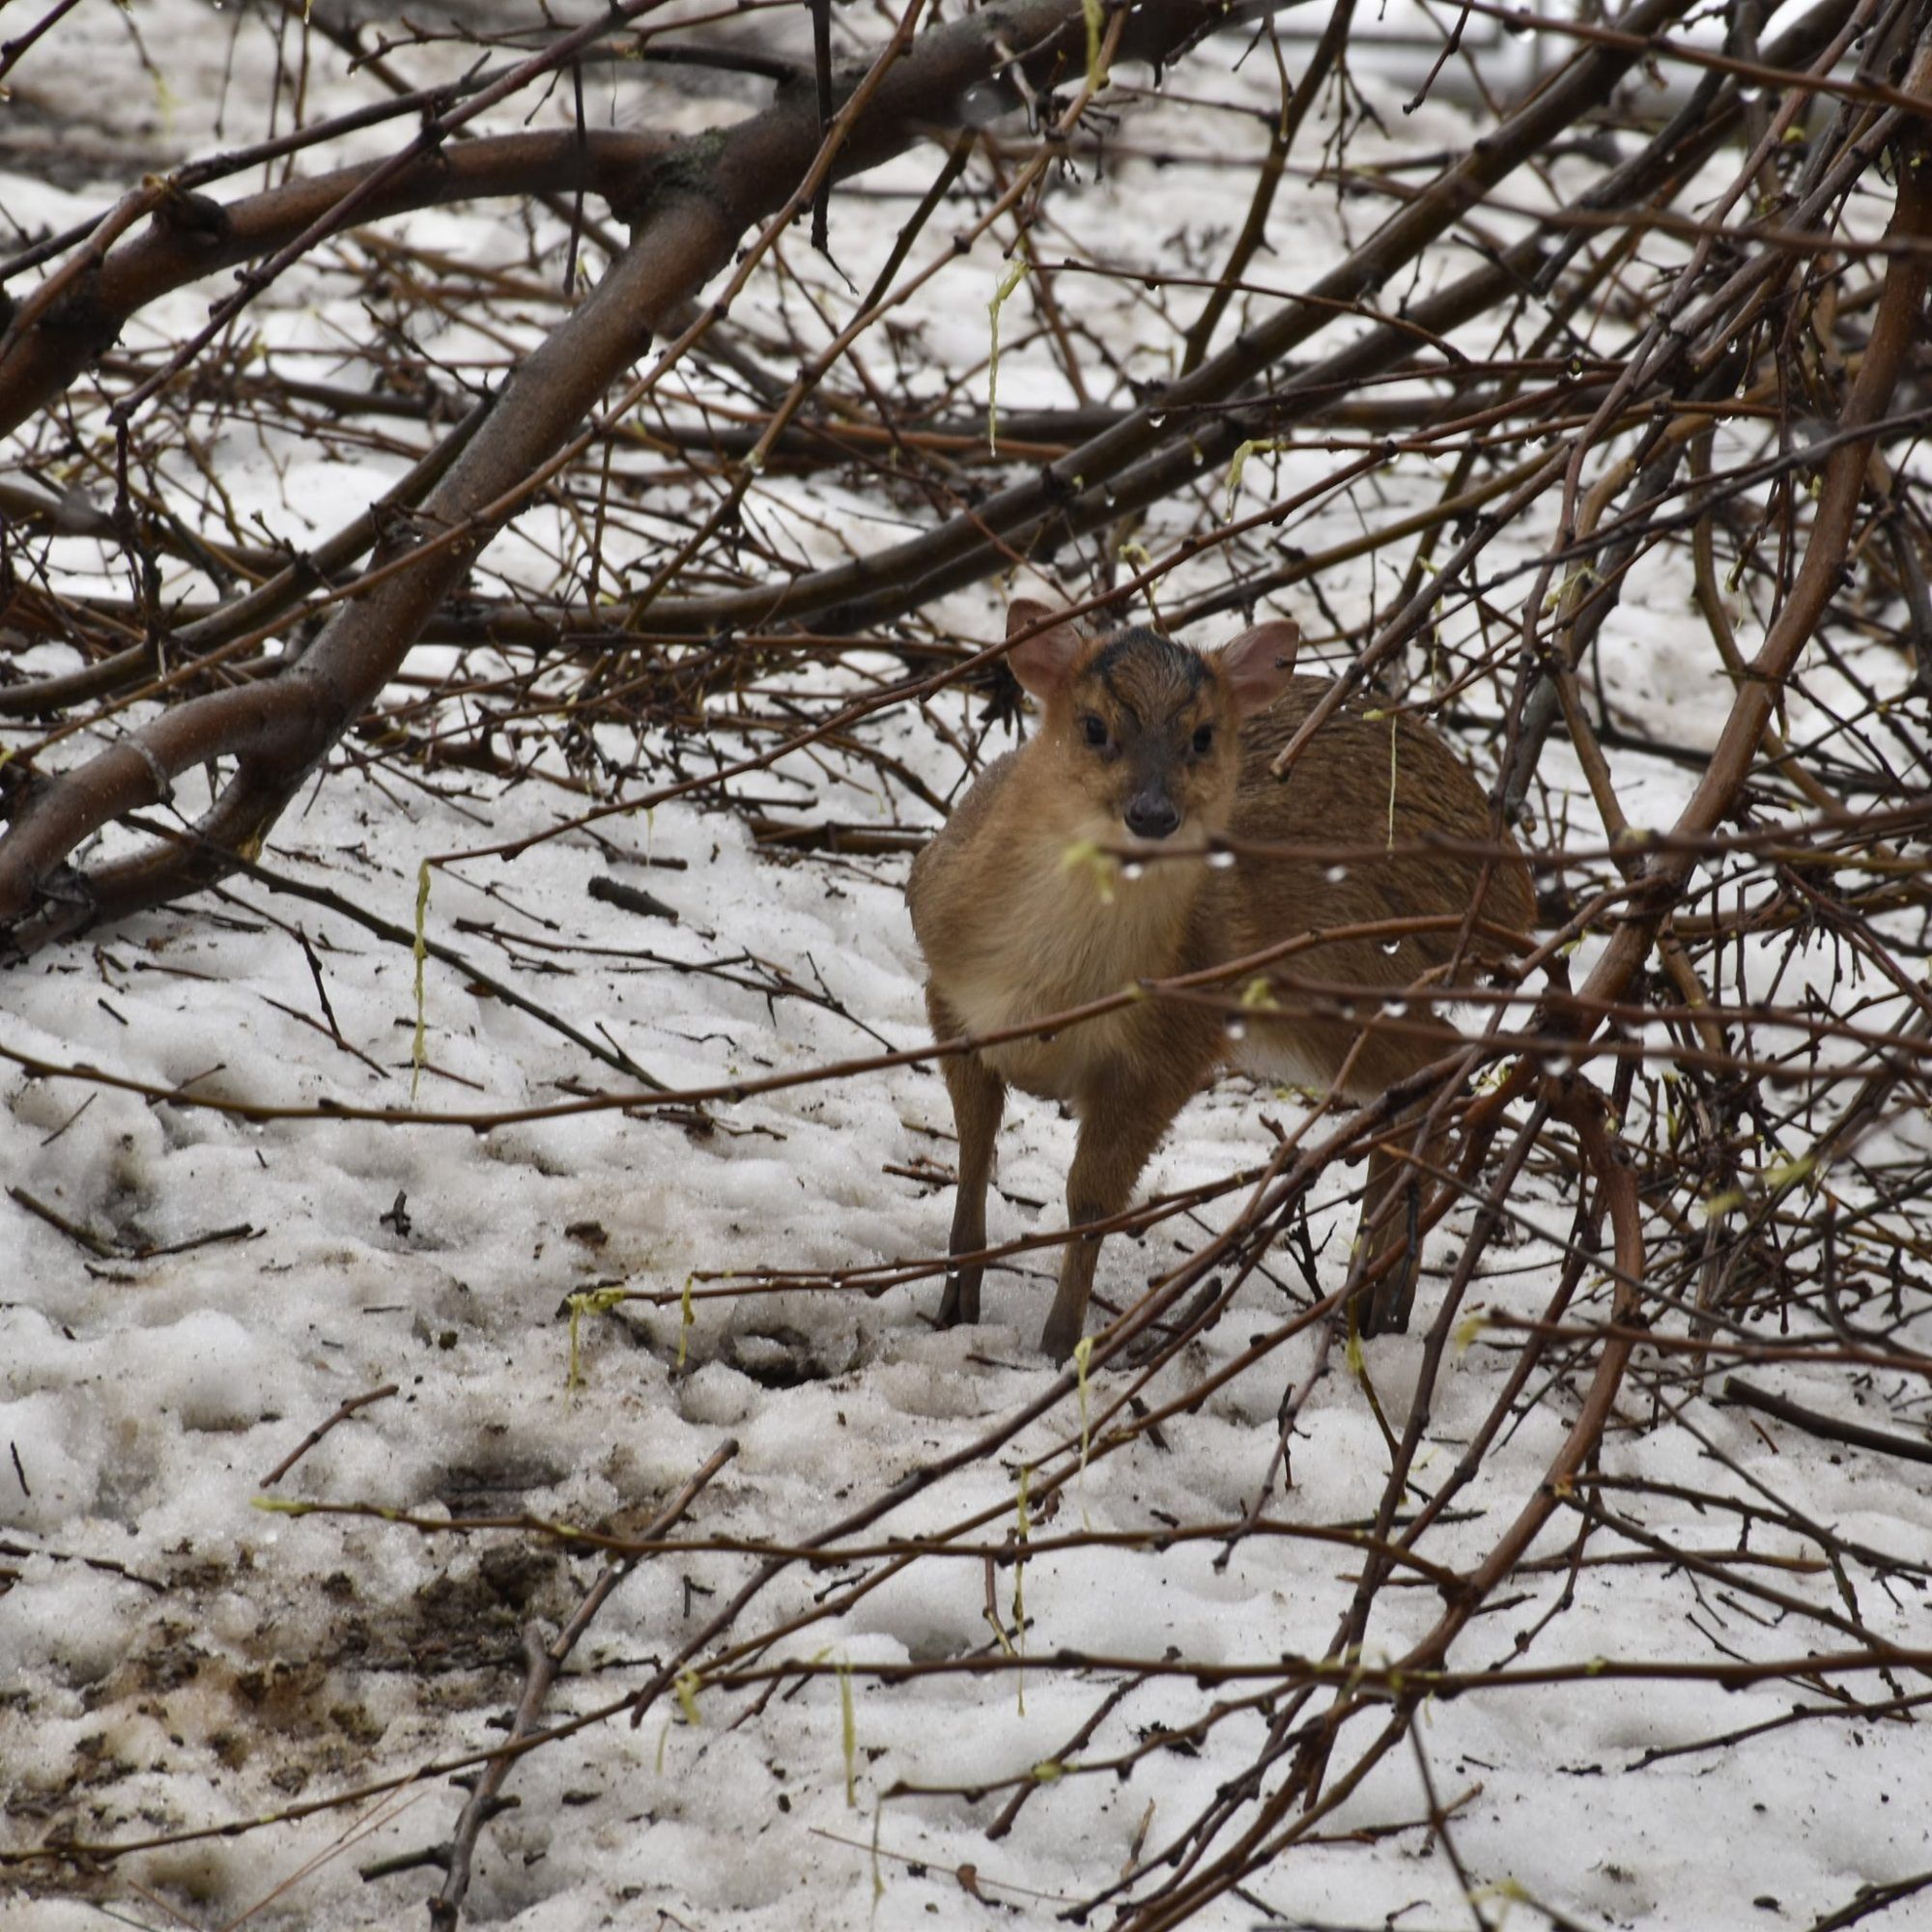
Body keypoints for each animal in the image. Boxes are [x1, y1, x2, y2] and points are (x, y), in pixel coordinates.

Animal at [900, 603, 1522, 1360]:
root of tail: (1513, 885)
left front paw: (1059, 1345)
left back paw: (1384, 1296)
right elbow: (972, 1153)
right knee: (1414, 1078)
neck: (1046, 993)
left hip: (1347, 971)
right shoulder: (950, 1003)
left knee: (1436, 1060)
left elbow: (1090, 1201)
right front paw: (954, 1306)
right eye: (1094, 726)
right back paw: (1373, 1297)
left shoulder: (1169, 1053)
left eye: (1202, 736)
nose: (1152, 815)